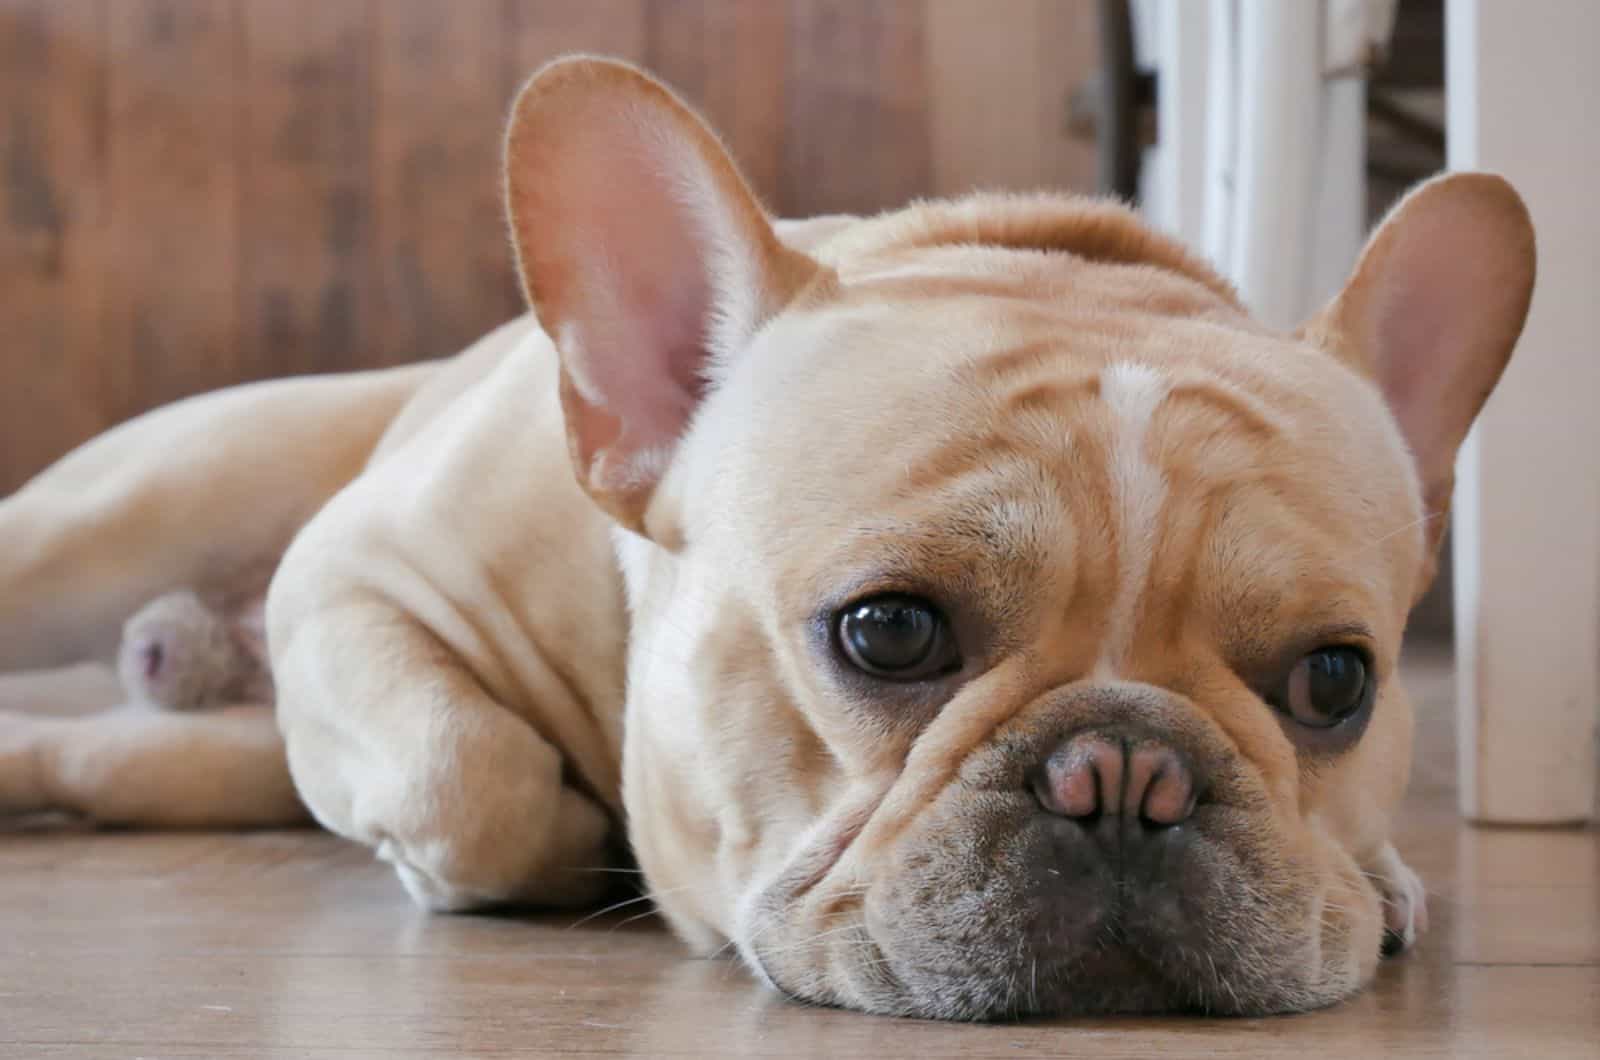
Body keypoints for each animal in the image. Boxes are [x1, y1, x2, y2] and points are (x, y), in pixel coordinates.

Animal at [0, 60, 1536, 1024]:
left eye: (1336, 681)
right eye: (888, 630)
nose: (1127, 774)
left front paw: (1383, 876)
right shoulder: (356, 569)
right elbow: (471, 770)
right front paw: (530, 839)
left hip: (189, 759)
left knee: (100, 752)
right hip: (123, 515)